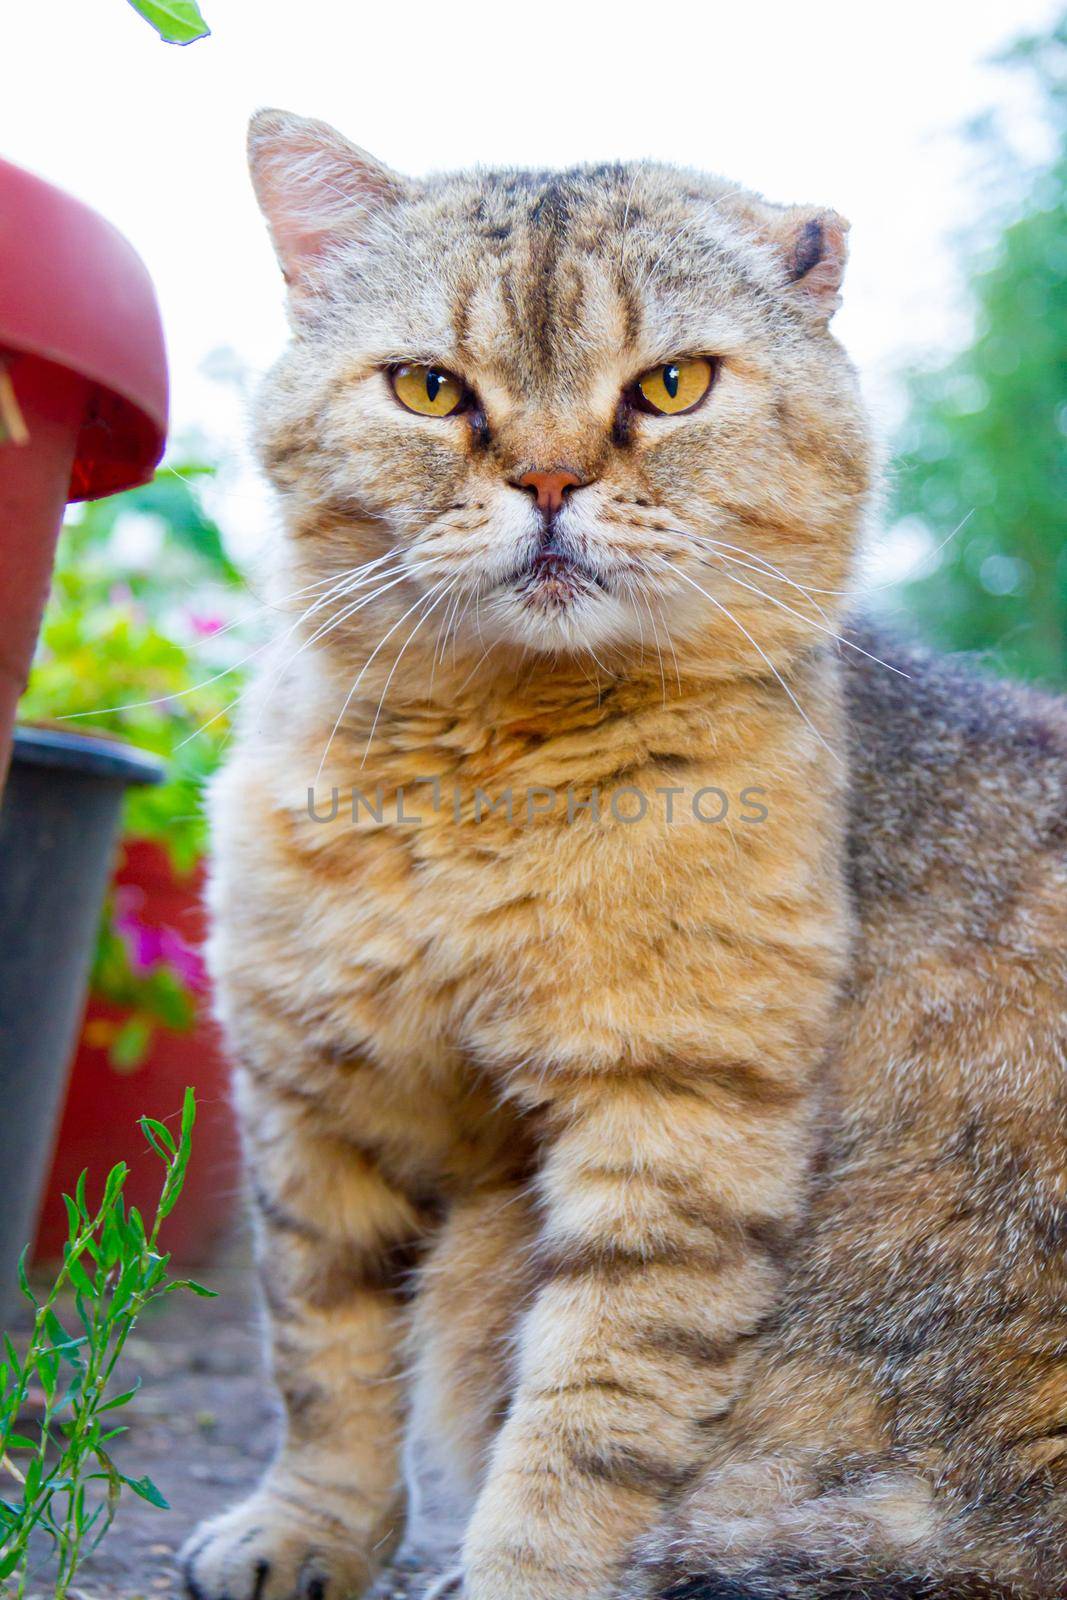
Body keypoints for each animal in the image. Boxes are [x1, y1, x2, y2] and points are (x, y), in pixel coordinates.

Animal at [179, 112, 1062, 1600]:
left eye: (672, 385)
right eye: (429, 389)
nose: (546, 480)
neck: (484, 777)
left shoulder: (676, 1120)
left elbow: (583, 1424)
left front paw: (506, 1574)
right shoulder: (317, 1097)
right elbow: (325, 1355)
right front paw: (304, 1533)